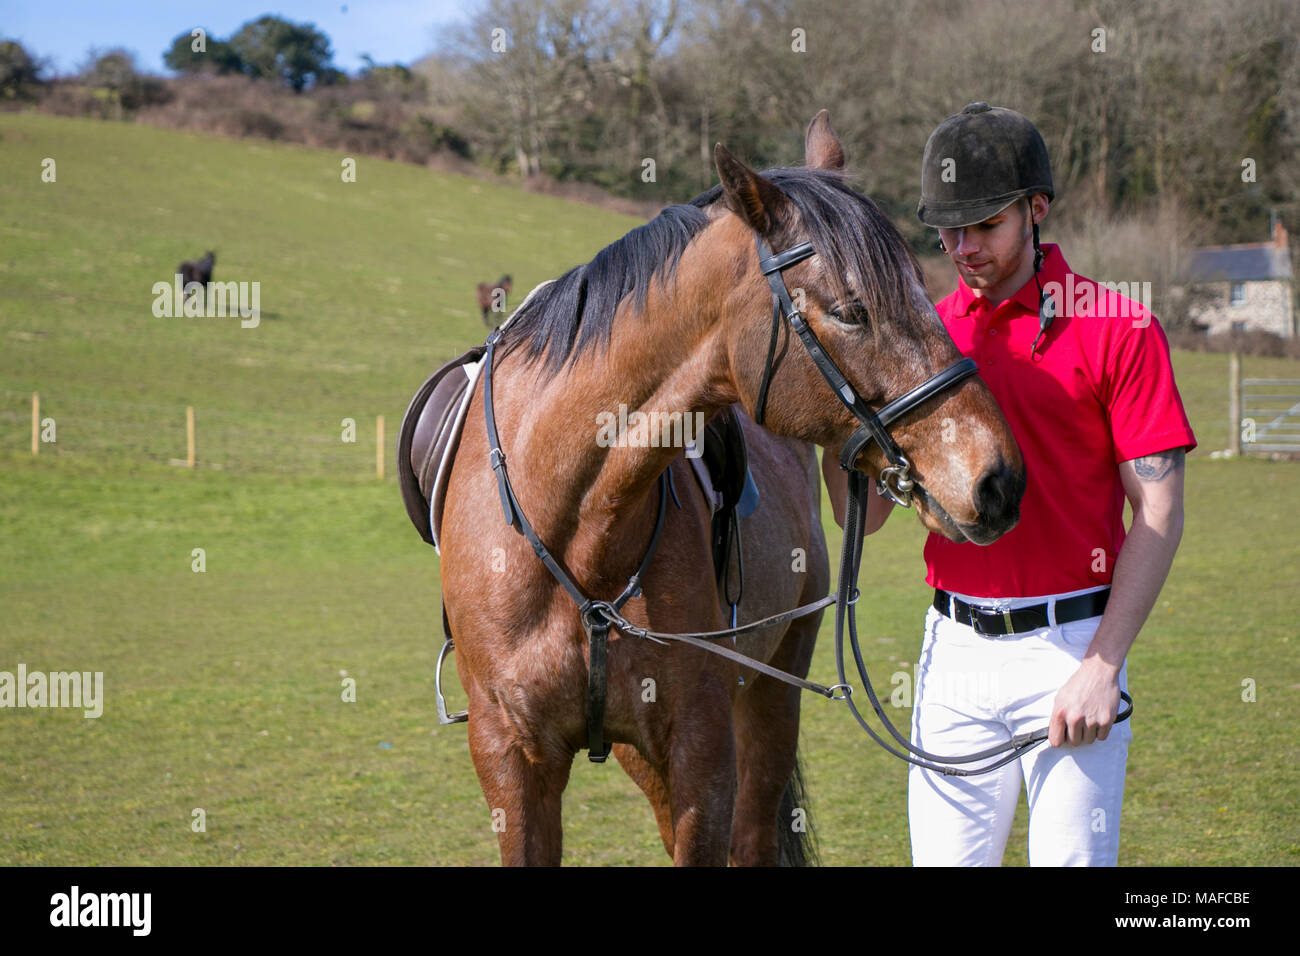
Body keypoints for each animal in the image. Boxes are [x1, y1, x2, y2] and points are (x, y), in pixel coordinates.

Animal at [436, 111, 1024, 868]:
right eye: (852, 310)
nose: (998, 477)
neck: (572, 532)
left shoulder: (702, 751)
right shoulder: (511, 759)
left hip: (771, 697)